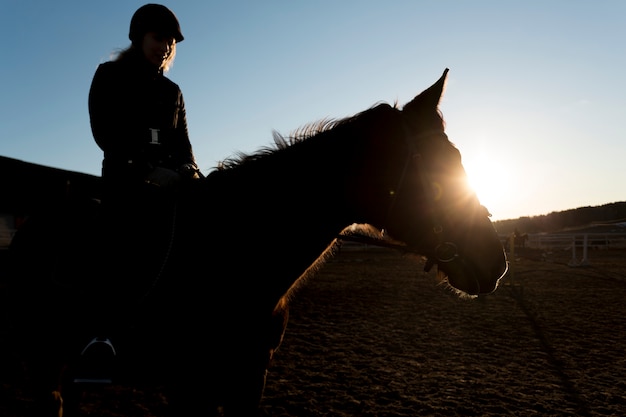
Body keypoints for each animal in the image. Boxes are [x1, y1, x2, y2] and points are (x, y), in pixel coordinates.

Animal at [3, 69, 508, 416]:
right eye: (436, 170)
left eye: (458, 158)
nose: (496, 262)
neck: (234, 253)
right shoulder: (191, 387)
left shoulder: (248, 380)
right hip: (44, 361)